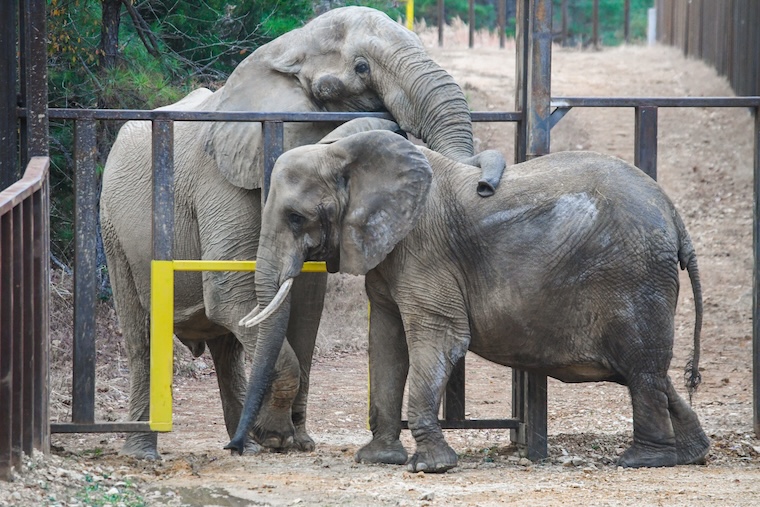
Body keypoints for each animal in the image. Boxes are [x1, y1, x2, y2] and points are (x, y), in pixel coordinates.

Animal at [100, 6, 505, 460]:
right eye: (361, 67)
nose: (485, 186)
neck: (284, 48)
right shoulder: (220, 181)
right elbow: (230, 291)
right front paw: (277, 438)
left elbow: (307, 303)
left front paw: (292, 441)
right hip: (111, 227)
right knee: (142, 339)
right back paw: (144, 452)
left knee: (227, 349)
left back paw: (242, 443)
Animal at [226, 129, 711, 472]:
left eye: (295, 218)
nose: (236, 448)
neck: (346, 152)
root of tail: (674, 215)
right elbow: (386, 341)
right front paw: (378, 460)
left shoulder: (424, 248)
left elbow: (440, 338)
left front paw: (431, 467)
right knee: (647, 372)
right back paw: (690, 454)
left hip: (635, 277)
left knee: (640, 368)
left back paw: (641, 460)